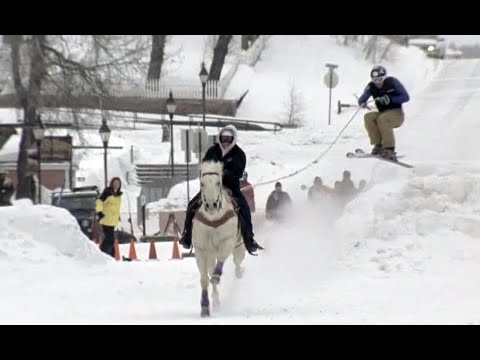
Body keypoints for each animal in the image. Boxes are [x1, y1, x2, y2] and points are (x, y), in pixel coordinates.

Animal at [191, 161, 246, 318]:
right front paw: (204, 307)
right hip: (210, 255)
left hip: (239, 247)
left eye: (218, 183)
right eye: (202, 183)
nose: (211, 205)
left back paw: (239, 272)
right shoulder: (201, 250)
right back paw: (215, 301)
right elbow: (204, 279)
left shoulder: (227, 241)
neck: (213, 219)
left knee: (237, 262)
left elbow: (221, 260)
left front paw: (217, 276)